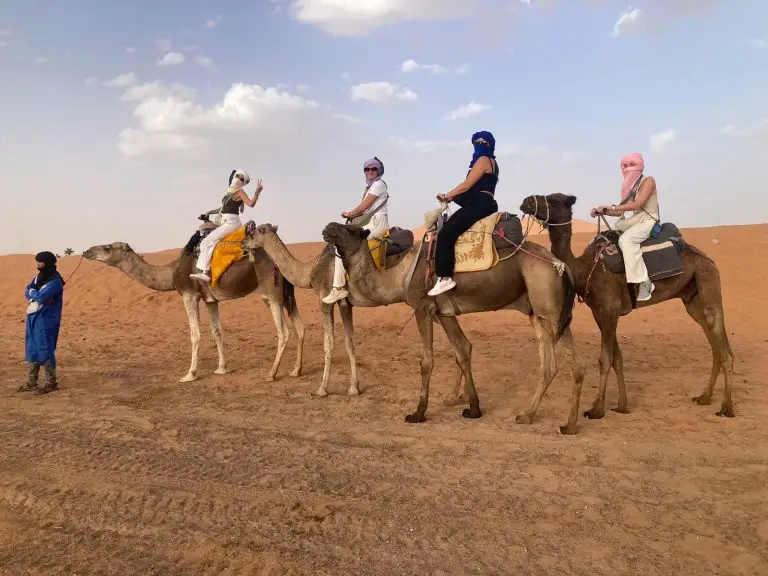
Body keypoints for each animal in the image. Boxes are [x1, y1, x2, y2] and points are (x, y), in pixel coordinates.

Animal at [82, 238, 305, 383]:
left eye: (107, 247)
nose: (87, 252)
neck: (170, 271)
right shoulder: (210, 300)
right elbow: (217, 331)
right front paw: (222, 369)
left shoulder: (189, 295)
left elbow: (195, 333)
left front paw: (190, 374)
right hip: (288, 293)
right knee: (300, 328)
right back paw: (296, 370)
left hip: (271, 293)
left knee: (283, 332)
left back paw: (272, 374)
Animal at [240, 224, 411, 398]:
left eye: (252, 233)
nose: (242, 243)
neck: (308, 269)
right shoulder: (345, 304)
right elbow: (350, 343)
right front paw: (354, 388)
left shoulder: (324, 298)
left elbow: (328, 343)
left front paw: (322, 388)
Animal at [320, 216, 587, 435]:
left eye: (351, 229)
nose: (328, 227)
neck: (398, 277)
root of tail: (561, 266)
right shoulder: (444, 313)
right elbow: (463, 350)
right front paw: (473, 408)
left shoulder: (423, 308)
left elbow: (427, 361)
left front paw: (418, 413)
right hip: (538, 312)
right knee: (555, 365)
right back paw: (537, 417)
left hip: (549, 306)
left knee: (567, 364)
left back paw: (560, 422)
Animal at [519, 193, 734, 419]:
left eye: (554, 199)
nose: (527, 201)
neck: (582, 269)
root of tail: (709, 260)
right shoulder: (601, 313)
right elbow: (617, 359)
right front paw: (622, 405)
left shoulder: (609, 311)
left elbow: (605, 359)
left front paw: (597, 409)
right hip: (692, 300)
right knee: (715, 347)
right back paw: (705, 397)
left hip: (708, 283)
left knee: (724, 348)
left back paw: (727, 407)